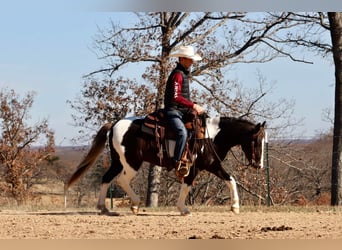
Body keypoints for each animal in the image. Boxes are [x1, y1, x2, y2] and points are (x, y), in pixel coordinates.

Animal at [65, 115, 268, 215]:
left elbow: (231, 180)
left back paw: (103, 208)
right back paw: (135, 204)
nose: (259, 165)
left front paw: (235, 207)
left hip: (117, 162)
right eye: (256, 141)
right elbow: (187, 186)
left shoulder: (213, 165)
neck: (211, 136)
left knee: (106, 178)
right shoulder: (193, 168)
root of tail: (115, 124)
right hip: (131, 163)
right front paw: (183, 209)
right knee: (121, 180)